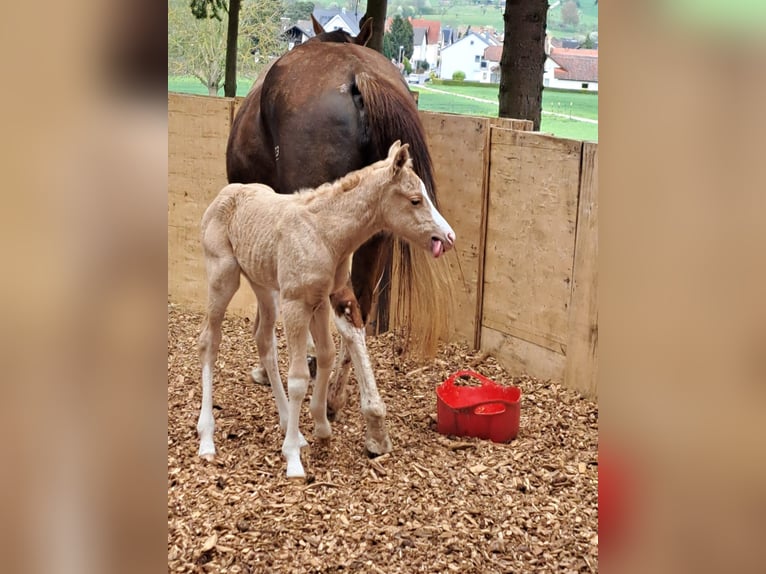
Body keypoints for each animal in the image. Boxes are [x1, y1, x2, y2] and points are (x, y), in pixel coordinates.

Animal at [197, 142, 455, 478]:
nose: (448, 238)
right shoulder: (296, 303)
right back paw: (207, 439)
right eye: (415, 200)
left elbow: (326, 355)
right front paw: (293, 458)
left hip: (263, 284)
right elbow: (298, 378)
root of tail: (224, 194)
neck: (325, 234)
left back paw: (287, 422)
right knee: (209, 341)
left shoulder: (320, 300)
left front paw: (319, 426)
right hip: (223, 276)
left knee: (263, 339)